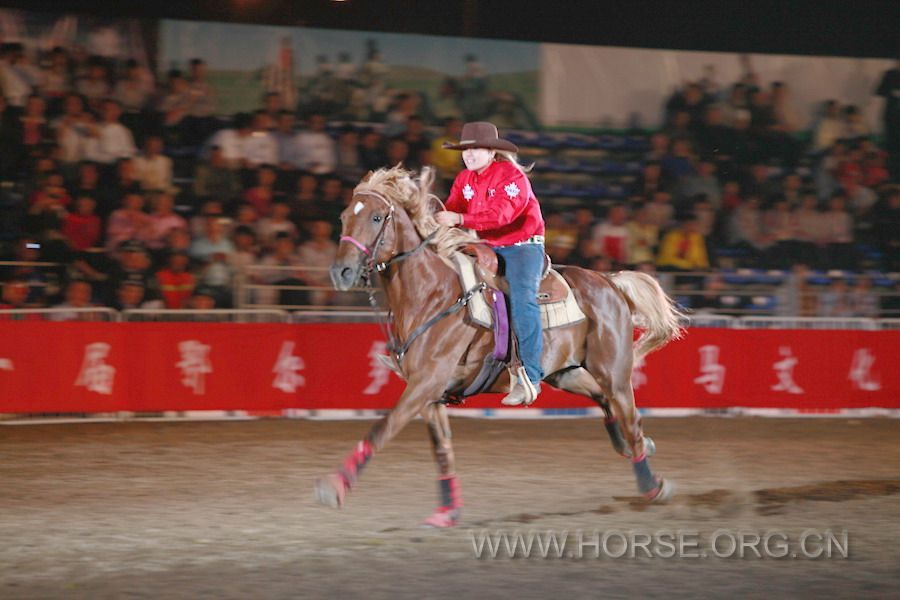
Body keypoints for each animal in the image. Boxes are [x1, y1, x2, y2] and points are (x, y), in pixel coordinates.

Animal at [316, 166, 684, 528]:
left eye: (377, 217)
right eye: (344, 216)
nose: (341, 272)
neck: (433, 294)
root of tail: (610, 282)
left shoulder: (425, 384)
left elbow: (382, 428)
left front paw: (334, 487)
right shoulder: (430, 394)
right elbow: (442, 450)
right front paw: (447, 511)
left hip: (615, 372)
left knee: (630, 418)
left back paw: (652, 485)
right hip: (565, 373)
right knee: (605, 403)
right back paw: (634, 449)